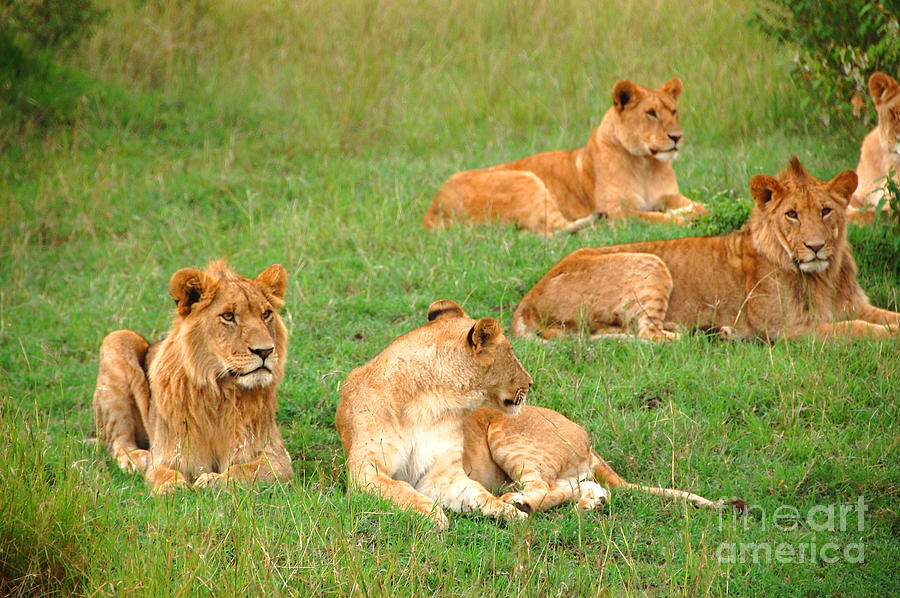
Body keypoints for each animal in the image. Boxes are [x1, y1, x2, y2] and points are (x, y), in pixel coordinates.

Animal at [93, 260, 294, 494]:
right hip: (116, 339)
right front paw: (171, 487)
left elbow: (245, 470)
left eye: (267, 314)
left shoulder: (278, 457)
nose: (265, 351)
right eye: (228, 316)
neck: (220, 392)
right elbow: (161, 472)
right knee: (117, 441)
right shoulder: (169, 453)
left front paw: (213, 480)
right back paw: (136, 459)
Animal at [338, 300, 536, 528]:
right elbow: (399, 488)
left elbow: (478, 492)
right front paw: (430, 513)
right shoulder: (366, 470)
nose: (530, 382)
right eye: (511, 352)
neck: (426, 404)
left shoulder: (442, 475)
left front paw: (508, 510)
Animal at [420, 75, 704, 234]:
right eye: (651, 113)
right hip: (526, 179)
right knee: (551, 230)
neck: (646, 164)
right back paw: (595, 222)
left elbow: (699, 206)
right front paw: (682, 218)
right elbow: (651, 217)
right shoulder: (619, 209)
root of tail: (432, 208)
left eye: (674, 111)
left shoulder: (671, 196)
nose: (676, 137)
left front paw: (695, 210)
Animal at [512, 157, 900, 344]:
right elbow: (854, 329)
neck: (823, 276)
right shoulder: (786, 329)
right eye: (792, 214)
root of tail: (527, 298)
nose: (816, 247)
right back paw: (699, 336)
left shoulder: (856, 306)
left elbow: (883, 317)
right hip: (651, 261)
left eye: (825, 211)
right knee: (648, 336)